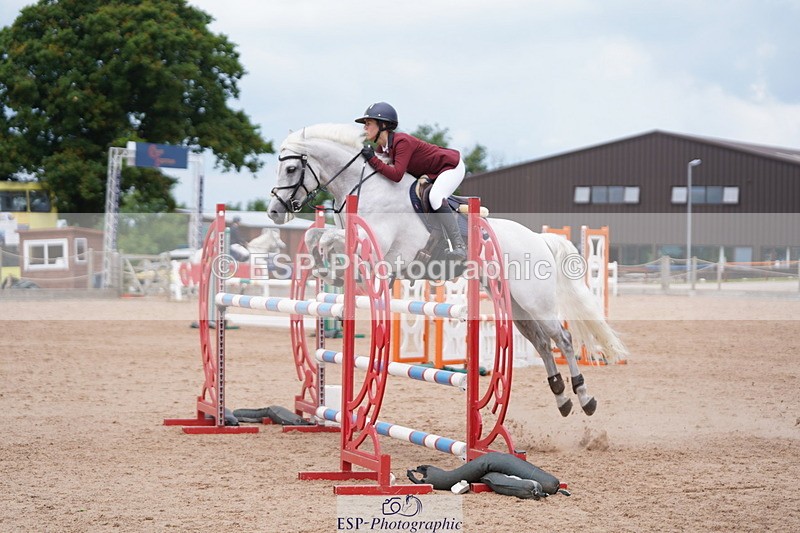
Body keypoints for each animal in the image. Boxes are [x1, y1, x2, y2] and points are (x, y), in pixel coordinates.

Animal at [267, 123, 627, 417]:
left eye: (290, 168)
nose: (273, 211)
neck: (365, 188)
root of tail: (538, 238)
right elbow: (319, 237)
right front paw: (327, 275)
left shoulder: (378, 245)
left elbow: (331, 239)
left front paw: (330, 272)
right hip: (516, 306)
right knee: (540, 342)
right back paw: (562, 398)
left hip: (536, 301)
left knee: (561, 338)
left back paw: (584, 397)